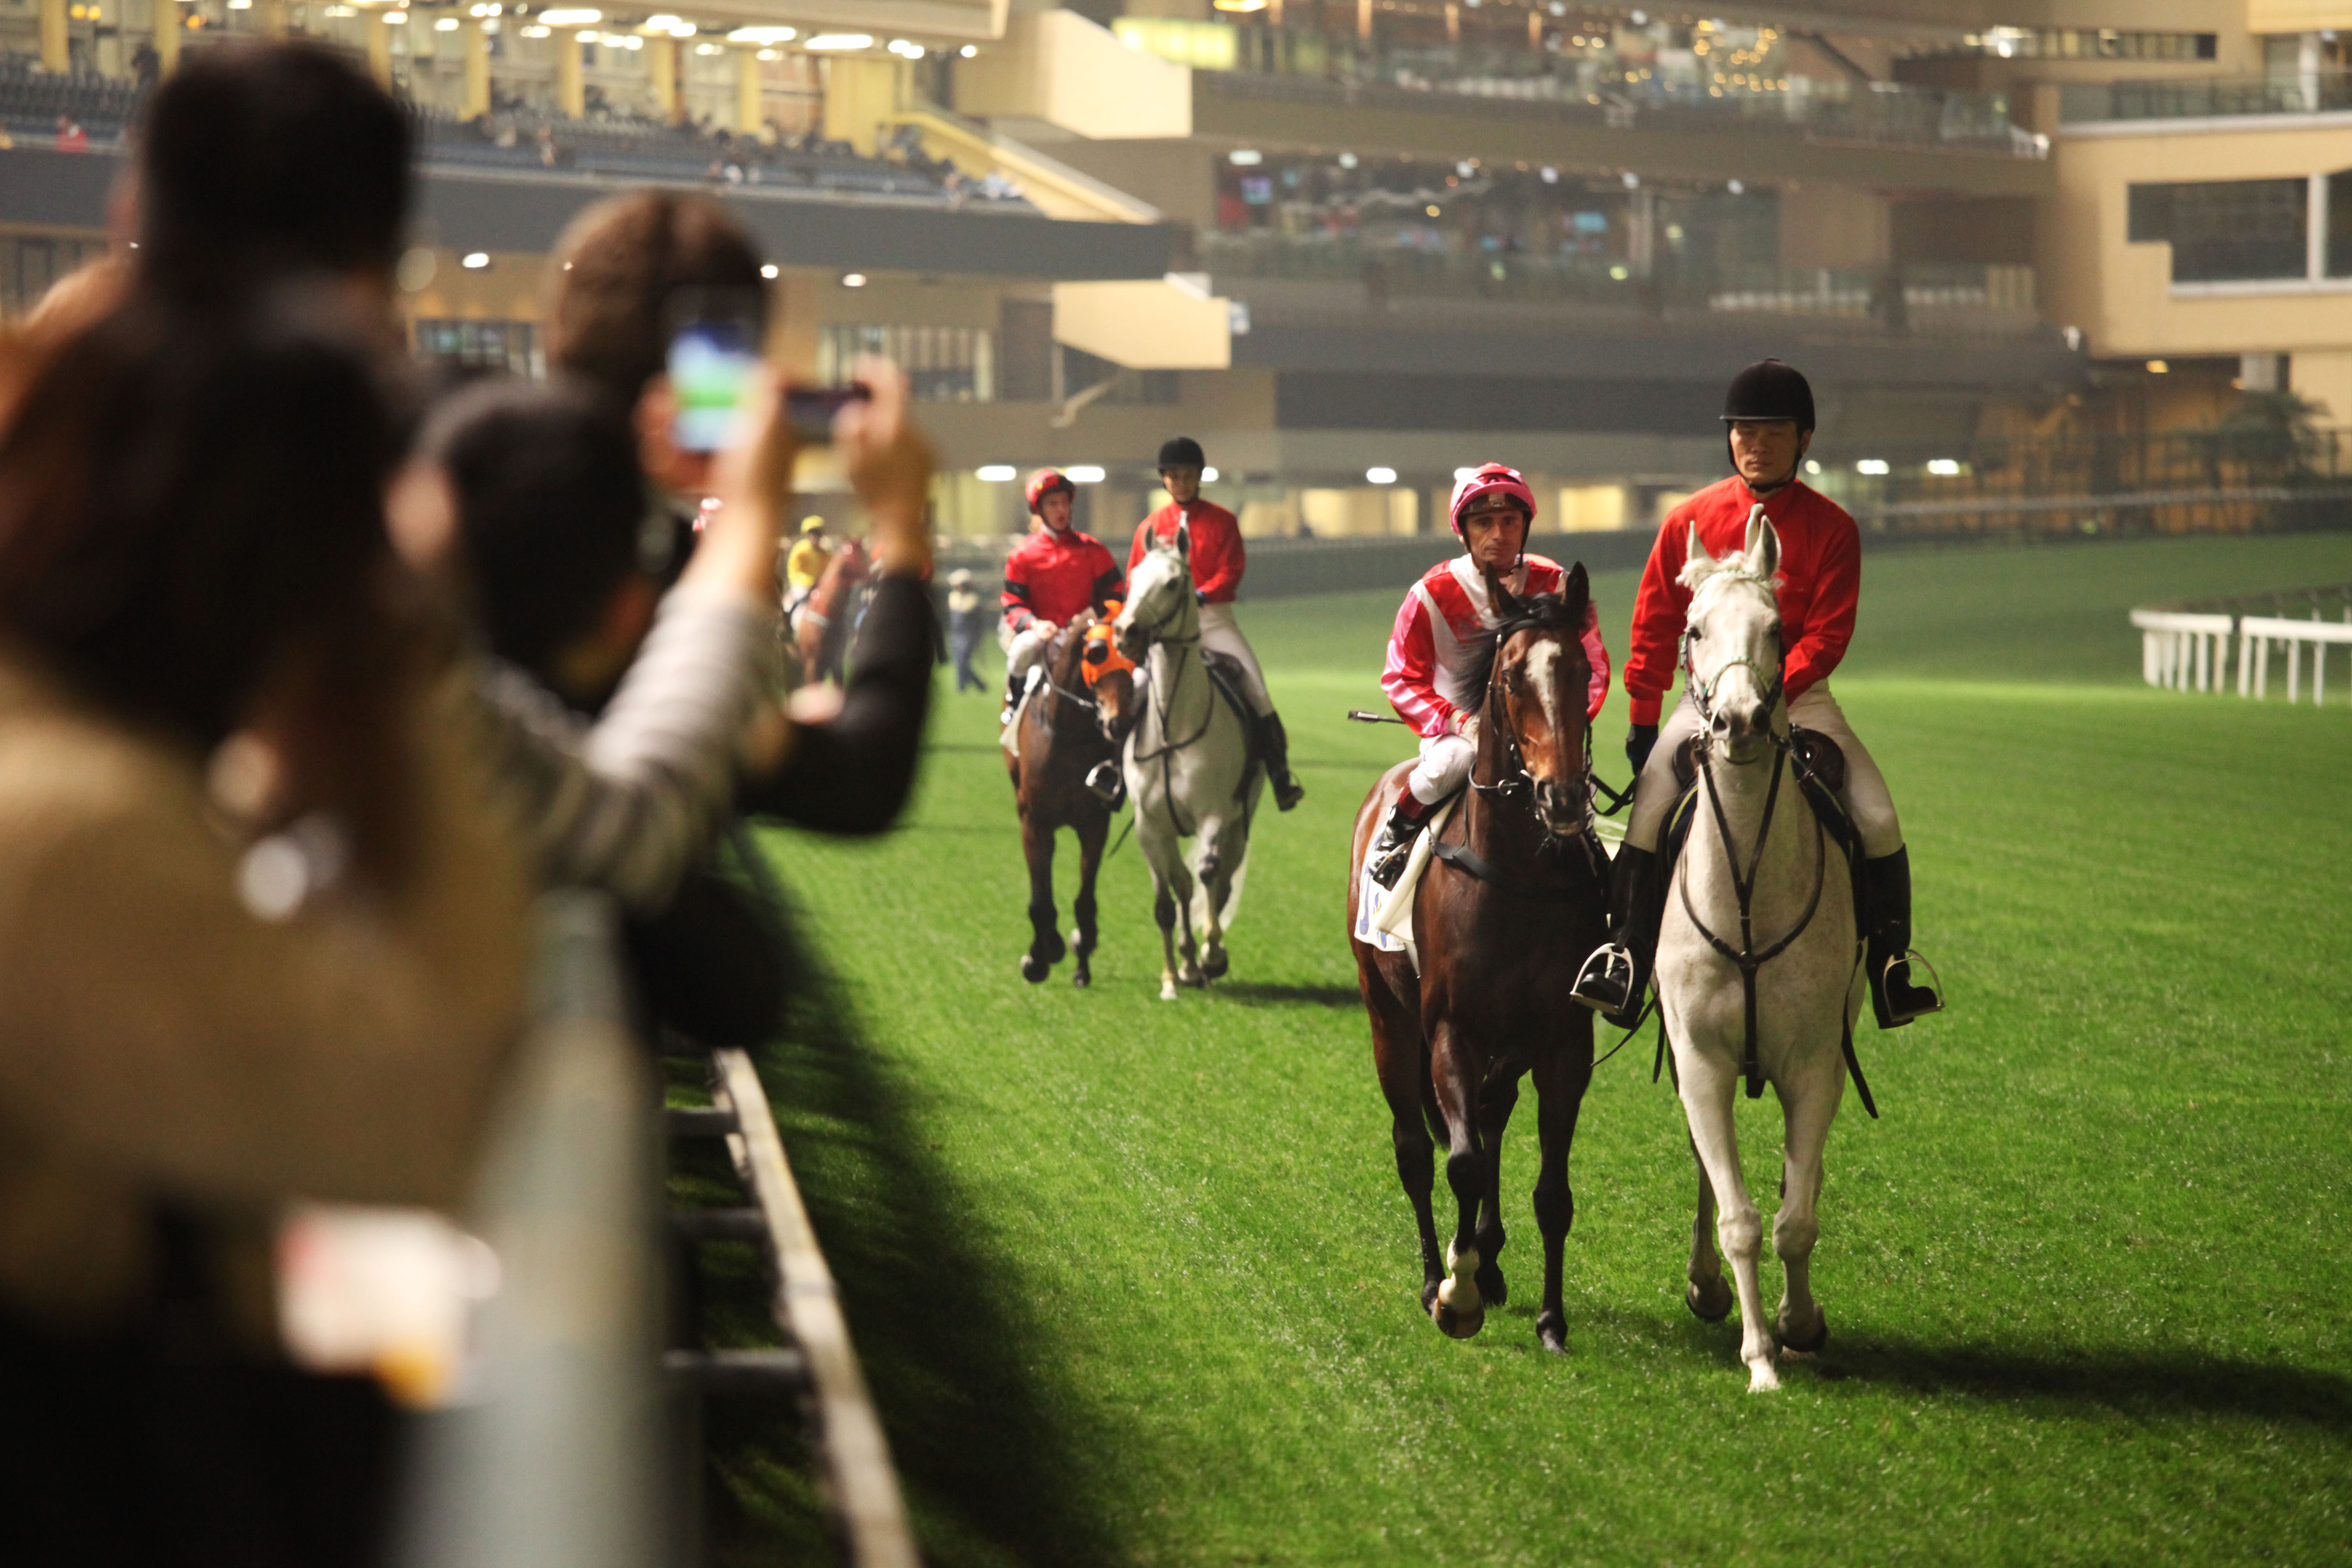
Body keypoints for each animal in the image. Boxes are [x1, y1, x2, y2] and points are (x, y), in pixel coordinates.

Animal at [1006, 620, 1133, 987]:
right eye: (1097, 653)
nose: (1119, 723)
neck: (1069, 736)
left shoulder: (1094, 825)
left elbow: (1085, 901)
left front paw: (1082, 955)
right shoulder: (1035, 824)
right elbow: (1041, 901)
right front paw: (1039, 957)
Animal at [1110, 534, 1261, 1006]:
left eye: (1174, 583)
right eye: (1133, 577)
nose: (1125, 632)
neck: (1173, 727)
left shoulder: (1215, 814)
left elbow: (1210, 876)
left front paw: (1212, 955)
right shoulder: (1150, 827)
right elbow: (1165, 900)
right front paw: (1171, 978)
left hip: (1239, 821)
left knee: (1220, 879)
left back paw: (1207, 960)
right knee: (1182, 884)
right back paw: (1188, 963)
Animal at [1345, 564, 1618, 1354]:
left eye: (1582, 669)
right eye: (1511, 677)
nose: (1562, 797)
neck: (1516, 877)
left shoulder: (1562, 1041)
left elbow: (1551, 1190)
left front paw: (1550, 1317)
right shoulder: (1451, 1030)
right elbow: (1459, 1161)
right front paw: (1454, 1295)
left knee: (1491, 1121)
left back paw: (1489, 1262)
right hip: (1388, 1018)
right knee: (1415, 1147)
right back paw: (1435, 1272)